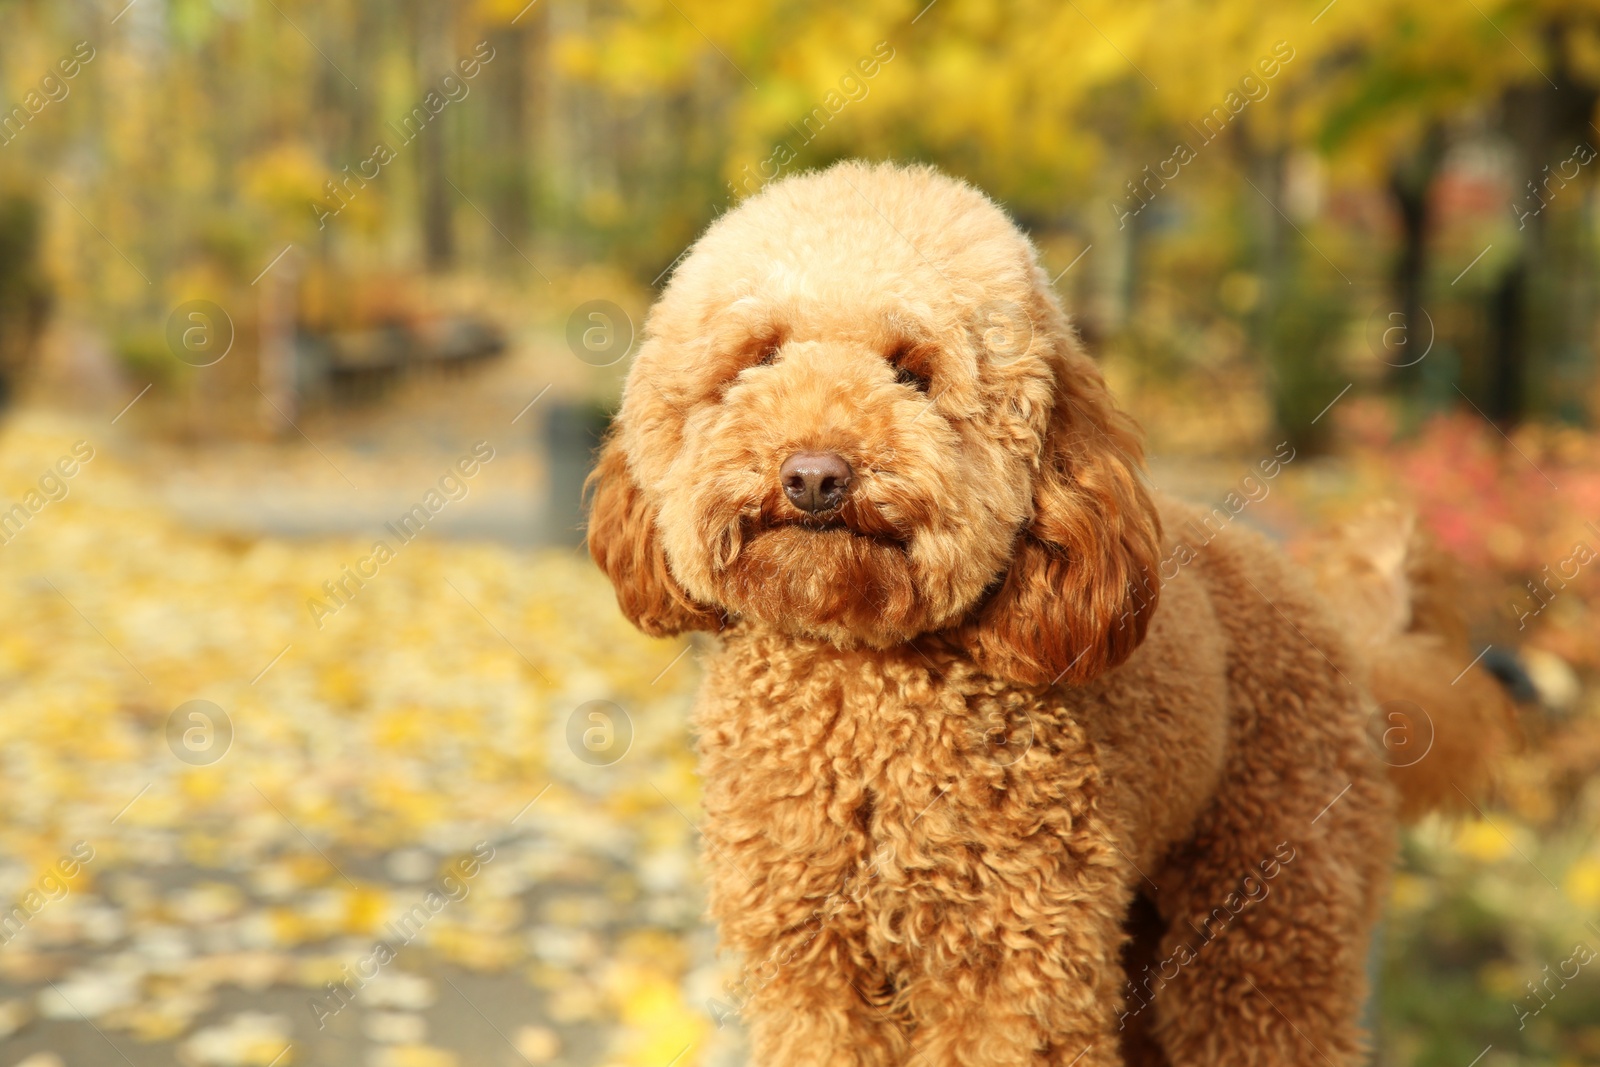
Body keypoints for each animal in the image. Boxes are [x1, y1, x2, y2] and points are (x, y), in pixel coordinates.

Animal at [582, 163, 1504, 1062]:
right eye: (758, 356)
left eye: (913, 370)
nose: (814, 474)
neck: (865, 673)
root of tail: (1339, 625)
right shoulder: (808, 963)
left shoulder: (1017, 963)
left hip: (1270, 916)